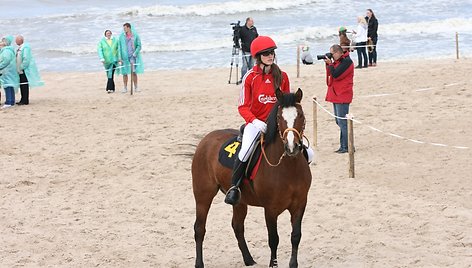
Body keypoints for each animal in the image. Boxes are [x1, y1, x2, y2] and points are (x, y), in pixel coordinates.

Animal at [192, 87, 314, 266]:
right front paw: (273, 265)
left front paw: (293, 264)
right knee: (199, 228)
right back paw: (199, 263)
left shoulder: (300, 205)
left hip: (240, 201)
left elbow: (296, 236)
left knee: (237, 226)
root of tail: (206, 139)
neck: (288, 168)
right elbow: (274, 239)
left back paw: (248, 259)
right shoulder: (270, 209)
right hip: (203, 196)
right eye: (279, 117)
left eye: (300, 115)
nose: (291, 147)